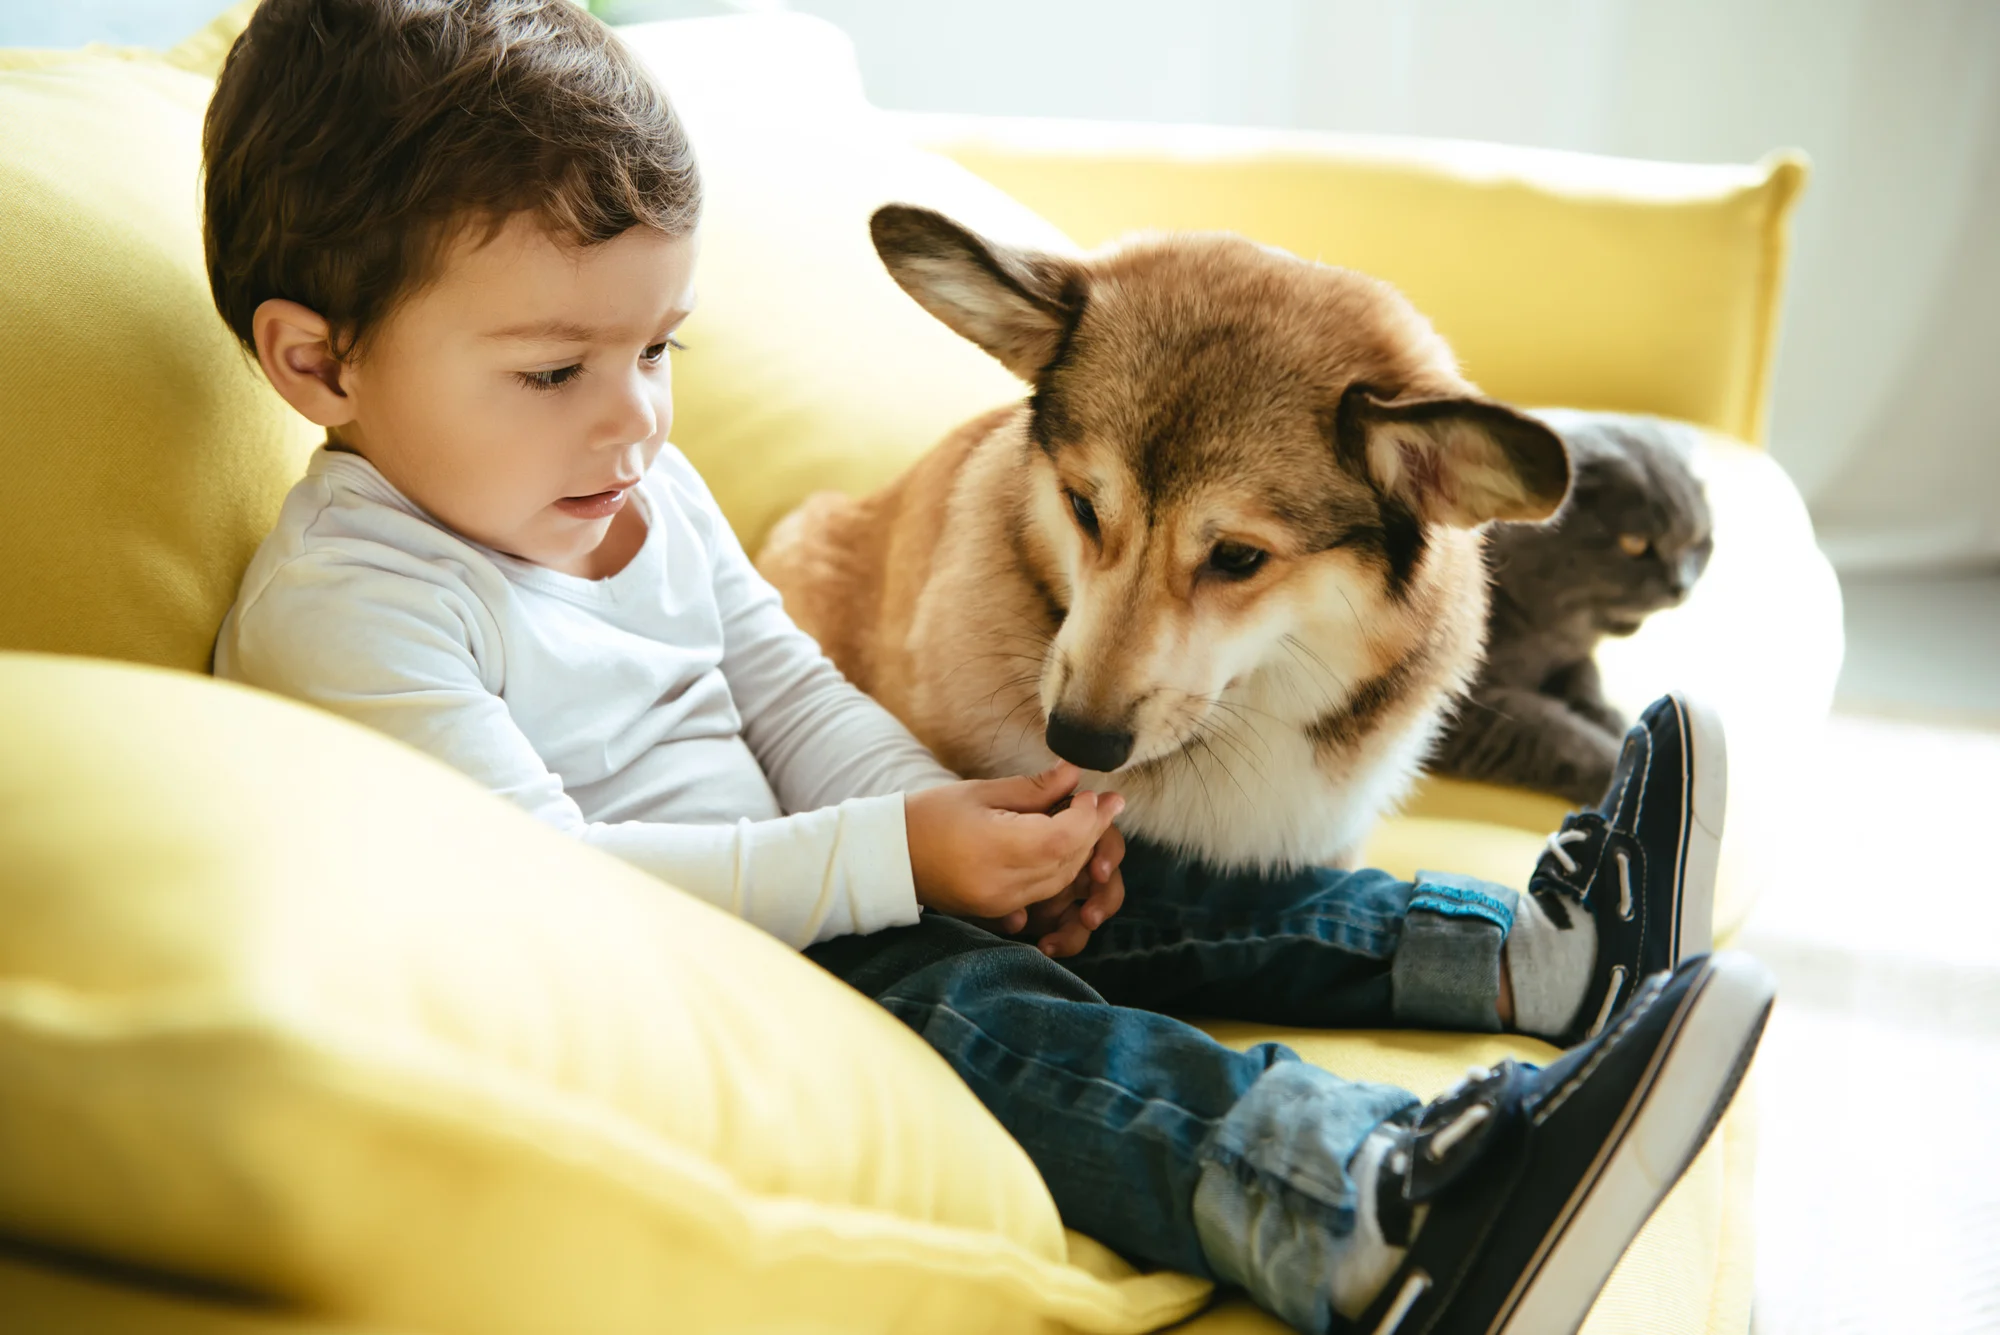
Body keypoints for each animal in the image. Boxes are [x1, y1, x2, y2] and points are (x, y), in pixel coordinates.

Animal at [1432, 409, 1712, 803]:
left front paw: (1608, 715)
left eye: (1698, 544)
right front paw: (1628, 771)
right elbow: (1559, 733)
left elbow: (1586, 673)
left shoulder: (1574, 653)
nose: (1680, 587)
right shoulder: (1466, 710)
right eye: (1634, 543)